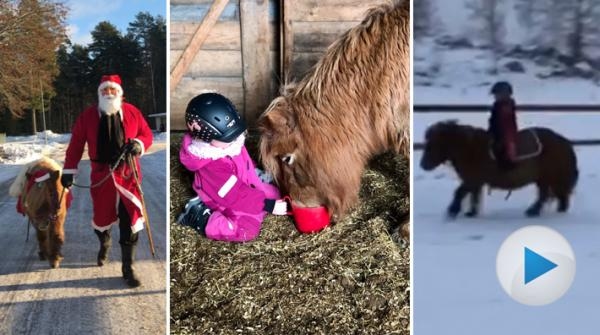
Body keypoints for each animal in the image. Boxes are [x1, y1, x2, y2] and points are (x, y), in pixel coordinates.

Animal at [420, 122, 580, 219]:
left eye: (432, 145)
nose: (423, 165)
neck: (469, 148)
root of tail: (564, 142)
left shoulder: (472, 180)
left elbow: (459, 192)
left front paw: (452, 211)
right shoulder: (475, 182)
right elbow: (473, 196)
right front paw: (471, 213)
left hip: (548, 177)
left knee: (546, 196)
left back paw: (534, 211)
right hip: (545, 179)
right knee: (552, 196)